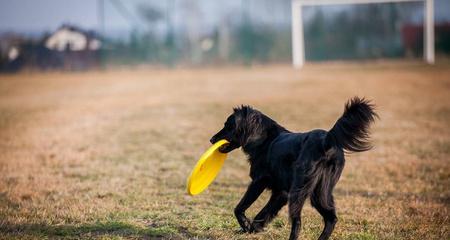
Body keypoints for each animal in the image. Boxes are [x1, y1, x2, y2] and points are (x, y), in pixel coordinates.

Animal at [210, 97, 376, 240]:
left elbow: (239, 207)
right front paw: (252, 228)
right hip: (320, 192)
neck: (263, 139)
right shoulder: (281, 192)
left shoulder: (259, 181)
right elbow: (264, 213)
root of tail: (326, 140)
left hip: (300, 190)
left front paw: (245, 224)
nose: (211, 139)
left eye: (228, 125)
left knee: (298, 222)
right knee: (331, 218)